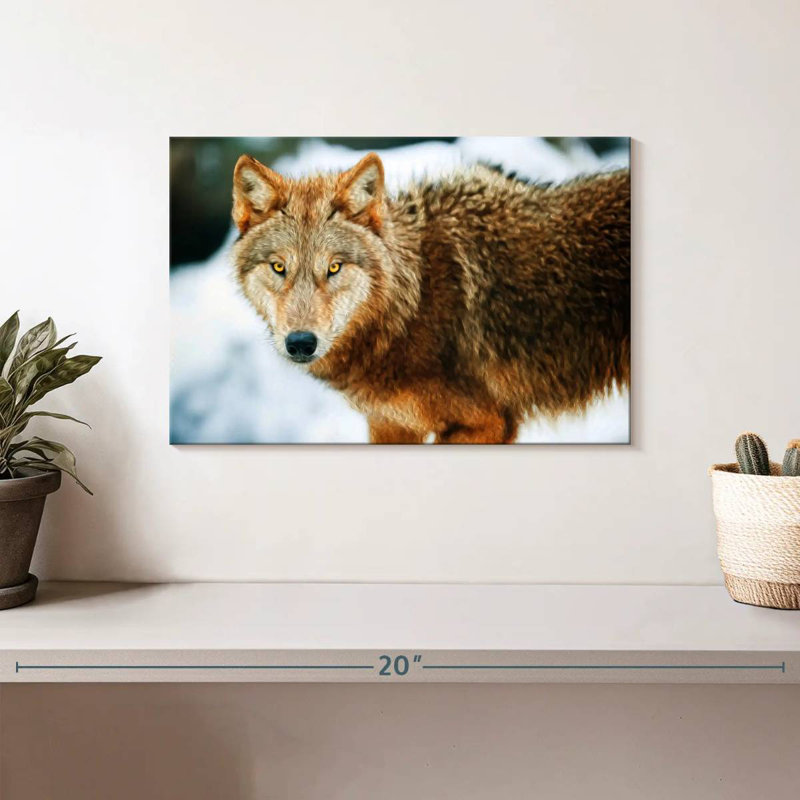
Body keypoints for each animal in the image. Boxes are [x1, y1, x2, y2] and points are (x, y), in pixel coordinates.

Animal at [231, 151, 630, 443]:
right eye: (279, 267)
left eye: (334, 267)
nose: (301, 343)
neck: (413, 302)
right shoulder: (389, 425)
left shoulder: (488, 423)